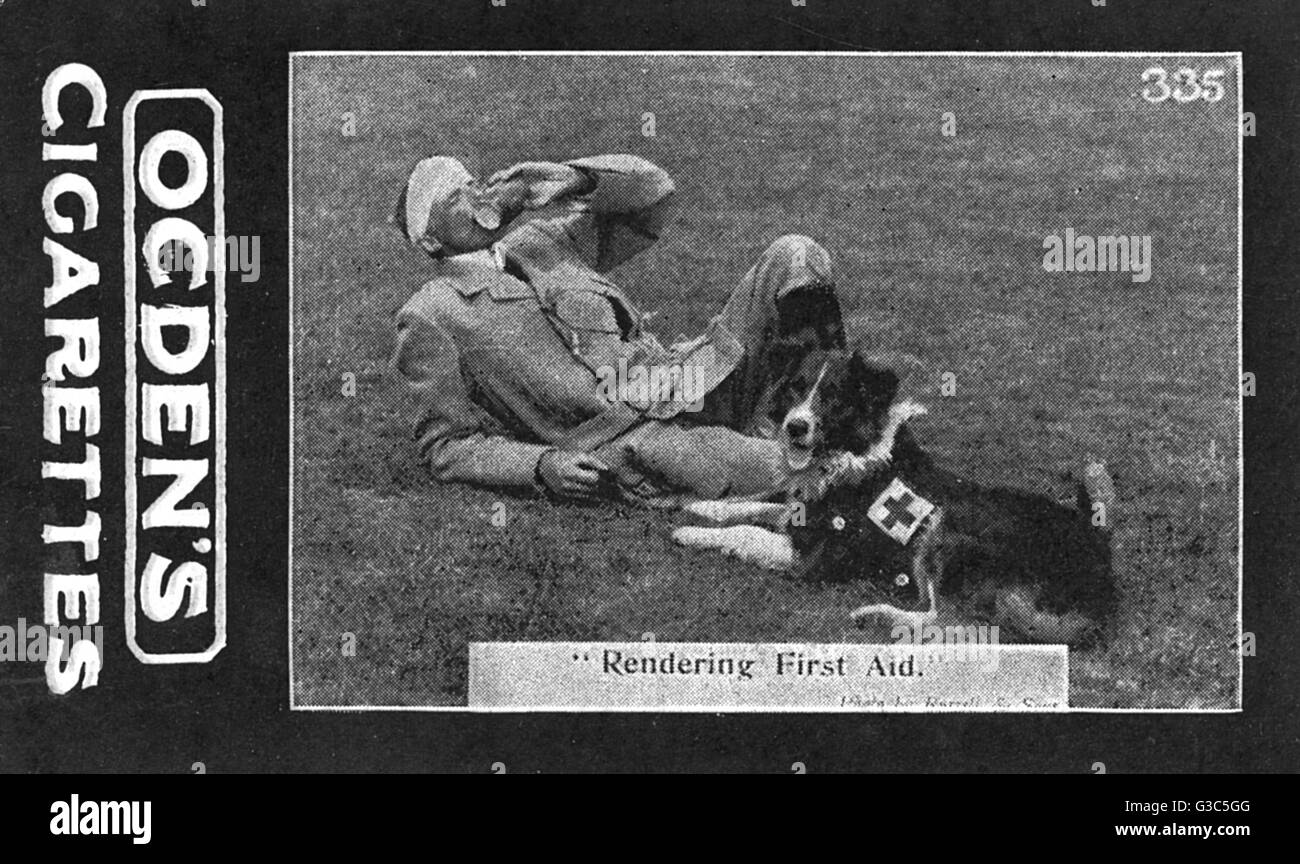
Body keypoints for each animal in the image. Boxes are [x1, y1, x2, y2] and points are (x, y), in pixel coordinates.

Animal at [670, 348, 1118, 644]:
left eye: (833, 396)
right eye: (797, 388)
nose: (795, 427)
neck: (851, 453)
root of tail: (1099, 554)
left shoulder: (813, 557)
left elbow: (747, 531)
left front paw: (690, 532)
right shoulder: (801, 507)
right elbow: (758, 502)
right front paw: (702, 506)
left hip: (945, 529)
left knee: (951, 620)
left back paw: (879, 616)